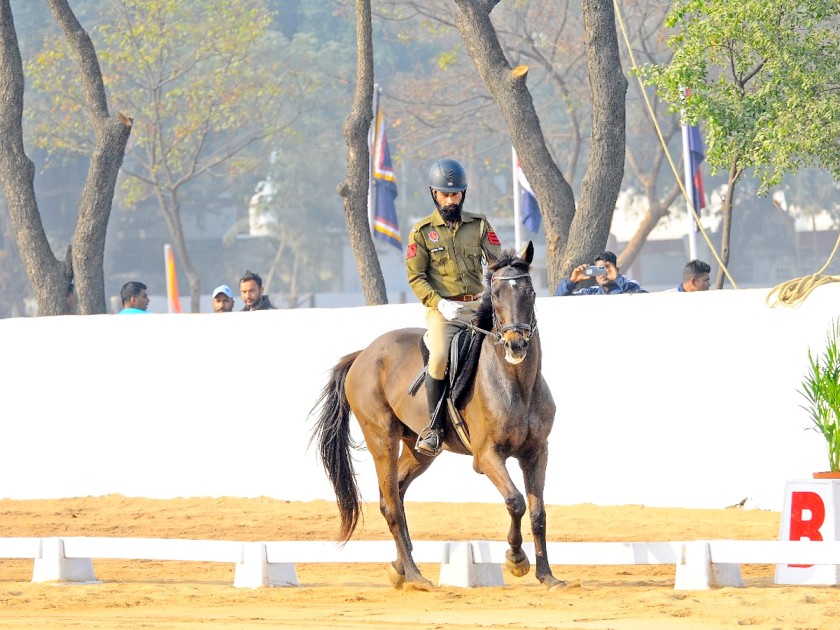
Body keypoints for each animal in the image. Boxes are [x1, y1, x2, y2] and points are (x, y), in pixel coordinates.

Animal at [308, 243, 564, 592]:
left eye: (531, 293)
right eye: (496, 294)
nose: (516, 345)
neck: (516, 383)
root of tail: (364, 354)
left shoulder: (536, 452)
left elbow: (538, 513)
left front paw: (547, 576)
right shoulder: (487, 456)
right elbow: (516, 501)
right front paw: (516, 560)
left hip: (418, 450)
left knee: (396, 493)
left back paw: (399, 568)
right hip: (382, 440)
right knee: (391, 505)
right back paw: (416, 576)